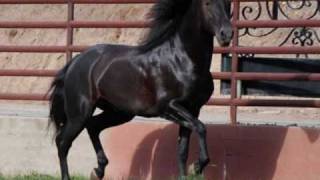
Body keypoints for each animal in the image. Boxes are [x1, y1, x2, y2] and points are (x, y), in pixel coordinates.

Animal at [48, 0, 231, 179]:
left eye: (228, 2)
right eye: (207, 3)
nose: (226, 34)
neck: (182, 61)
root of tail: (75, 61)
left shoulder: (193, 108)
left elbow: (183, 149)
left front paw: (192, 169)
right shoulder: (168, 107)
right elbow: (200, 127)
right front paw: (197, 167)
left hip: (119, 113)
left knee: (93, 126)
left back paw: (99, 170)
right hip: (79, 114)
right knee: (62, 142)